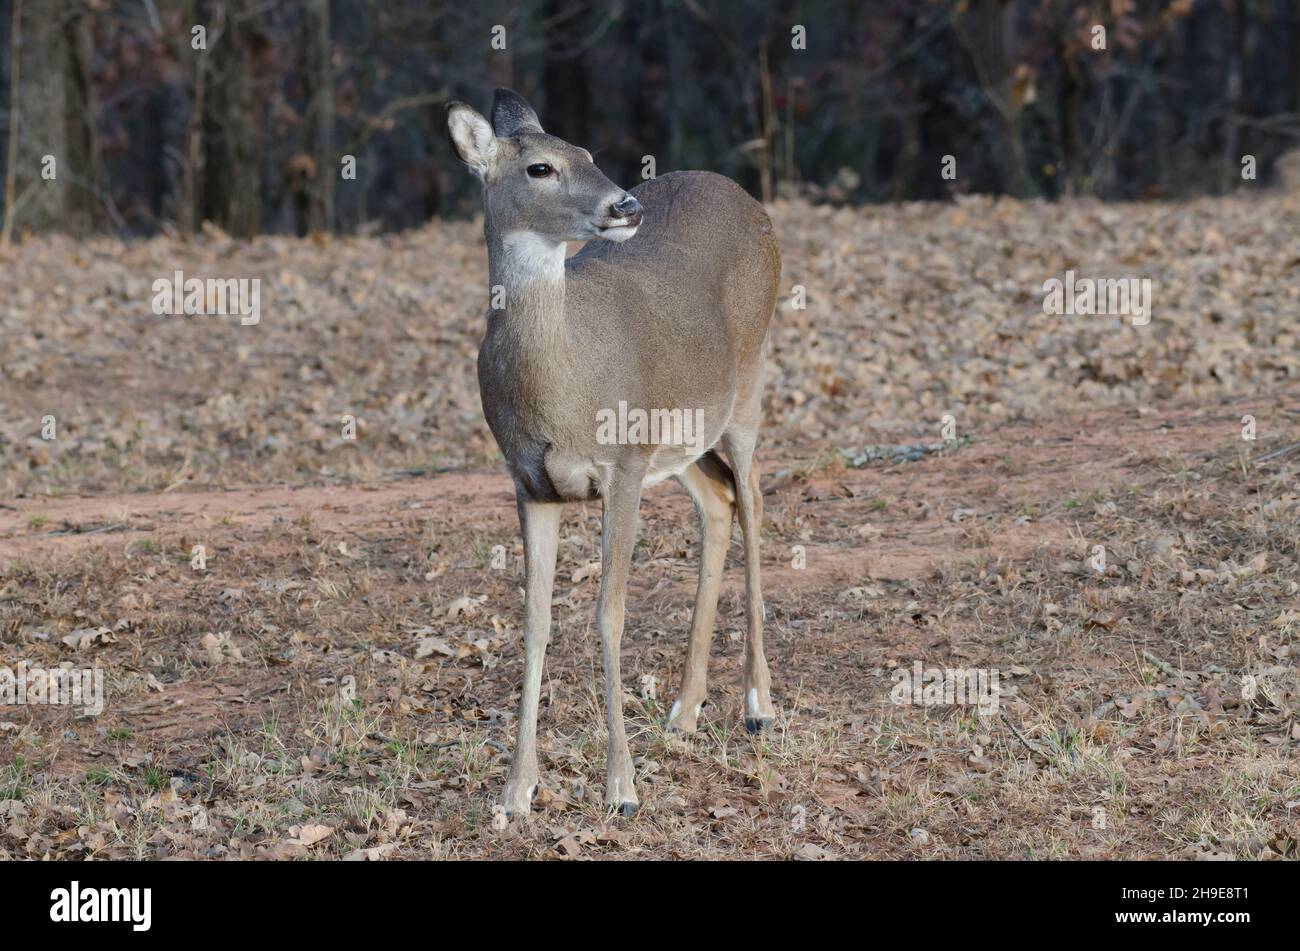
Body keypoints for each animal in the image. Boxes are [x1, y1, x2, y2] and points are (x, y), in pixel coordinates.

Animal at [446, 89, 780, 818]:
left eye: (588, 153)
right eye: (541, 167)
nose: (626, 205)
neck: (562, 383)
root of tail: (742, 193)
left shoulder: (621, 466)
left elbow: (610, 614)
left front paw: (622, 788)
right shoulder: (530, 483)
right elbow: (536, 621)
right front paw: (516, 792)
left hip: (748, 383)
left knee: (754, 501)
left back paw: (758, 704)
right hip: (681, 435)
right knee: (719, 502)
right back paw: (684, 710)